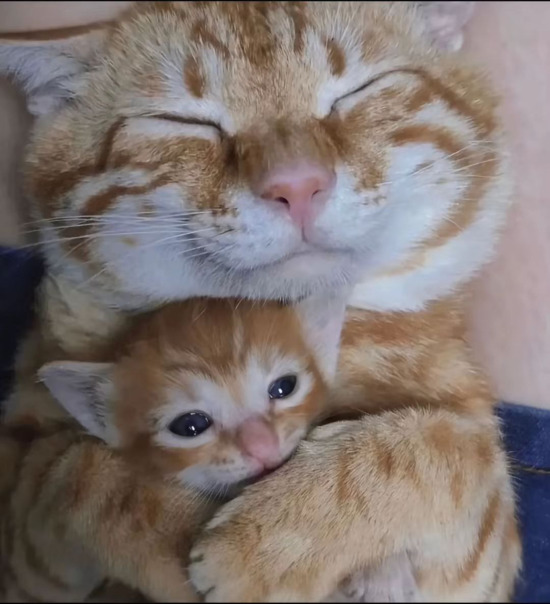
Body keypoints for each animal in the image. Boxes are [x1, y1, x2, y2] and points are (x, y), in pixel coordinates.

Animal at [0, 1, 520, 602]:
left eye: (354, 93)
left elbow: (438, 448)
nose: (297, 185)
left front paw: (270, 541)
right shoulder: (20, 505)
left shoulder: (485, 542)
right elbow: (86, 473)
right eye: (186, 123)